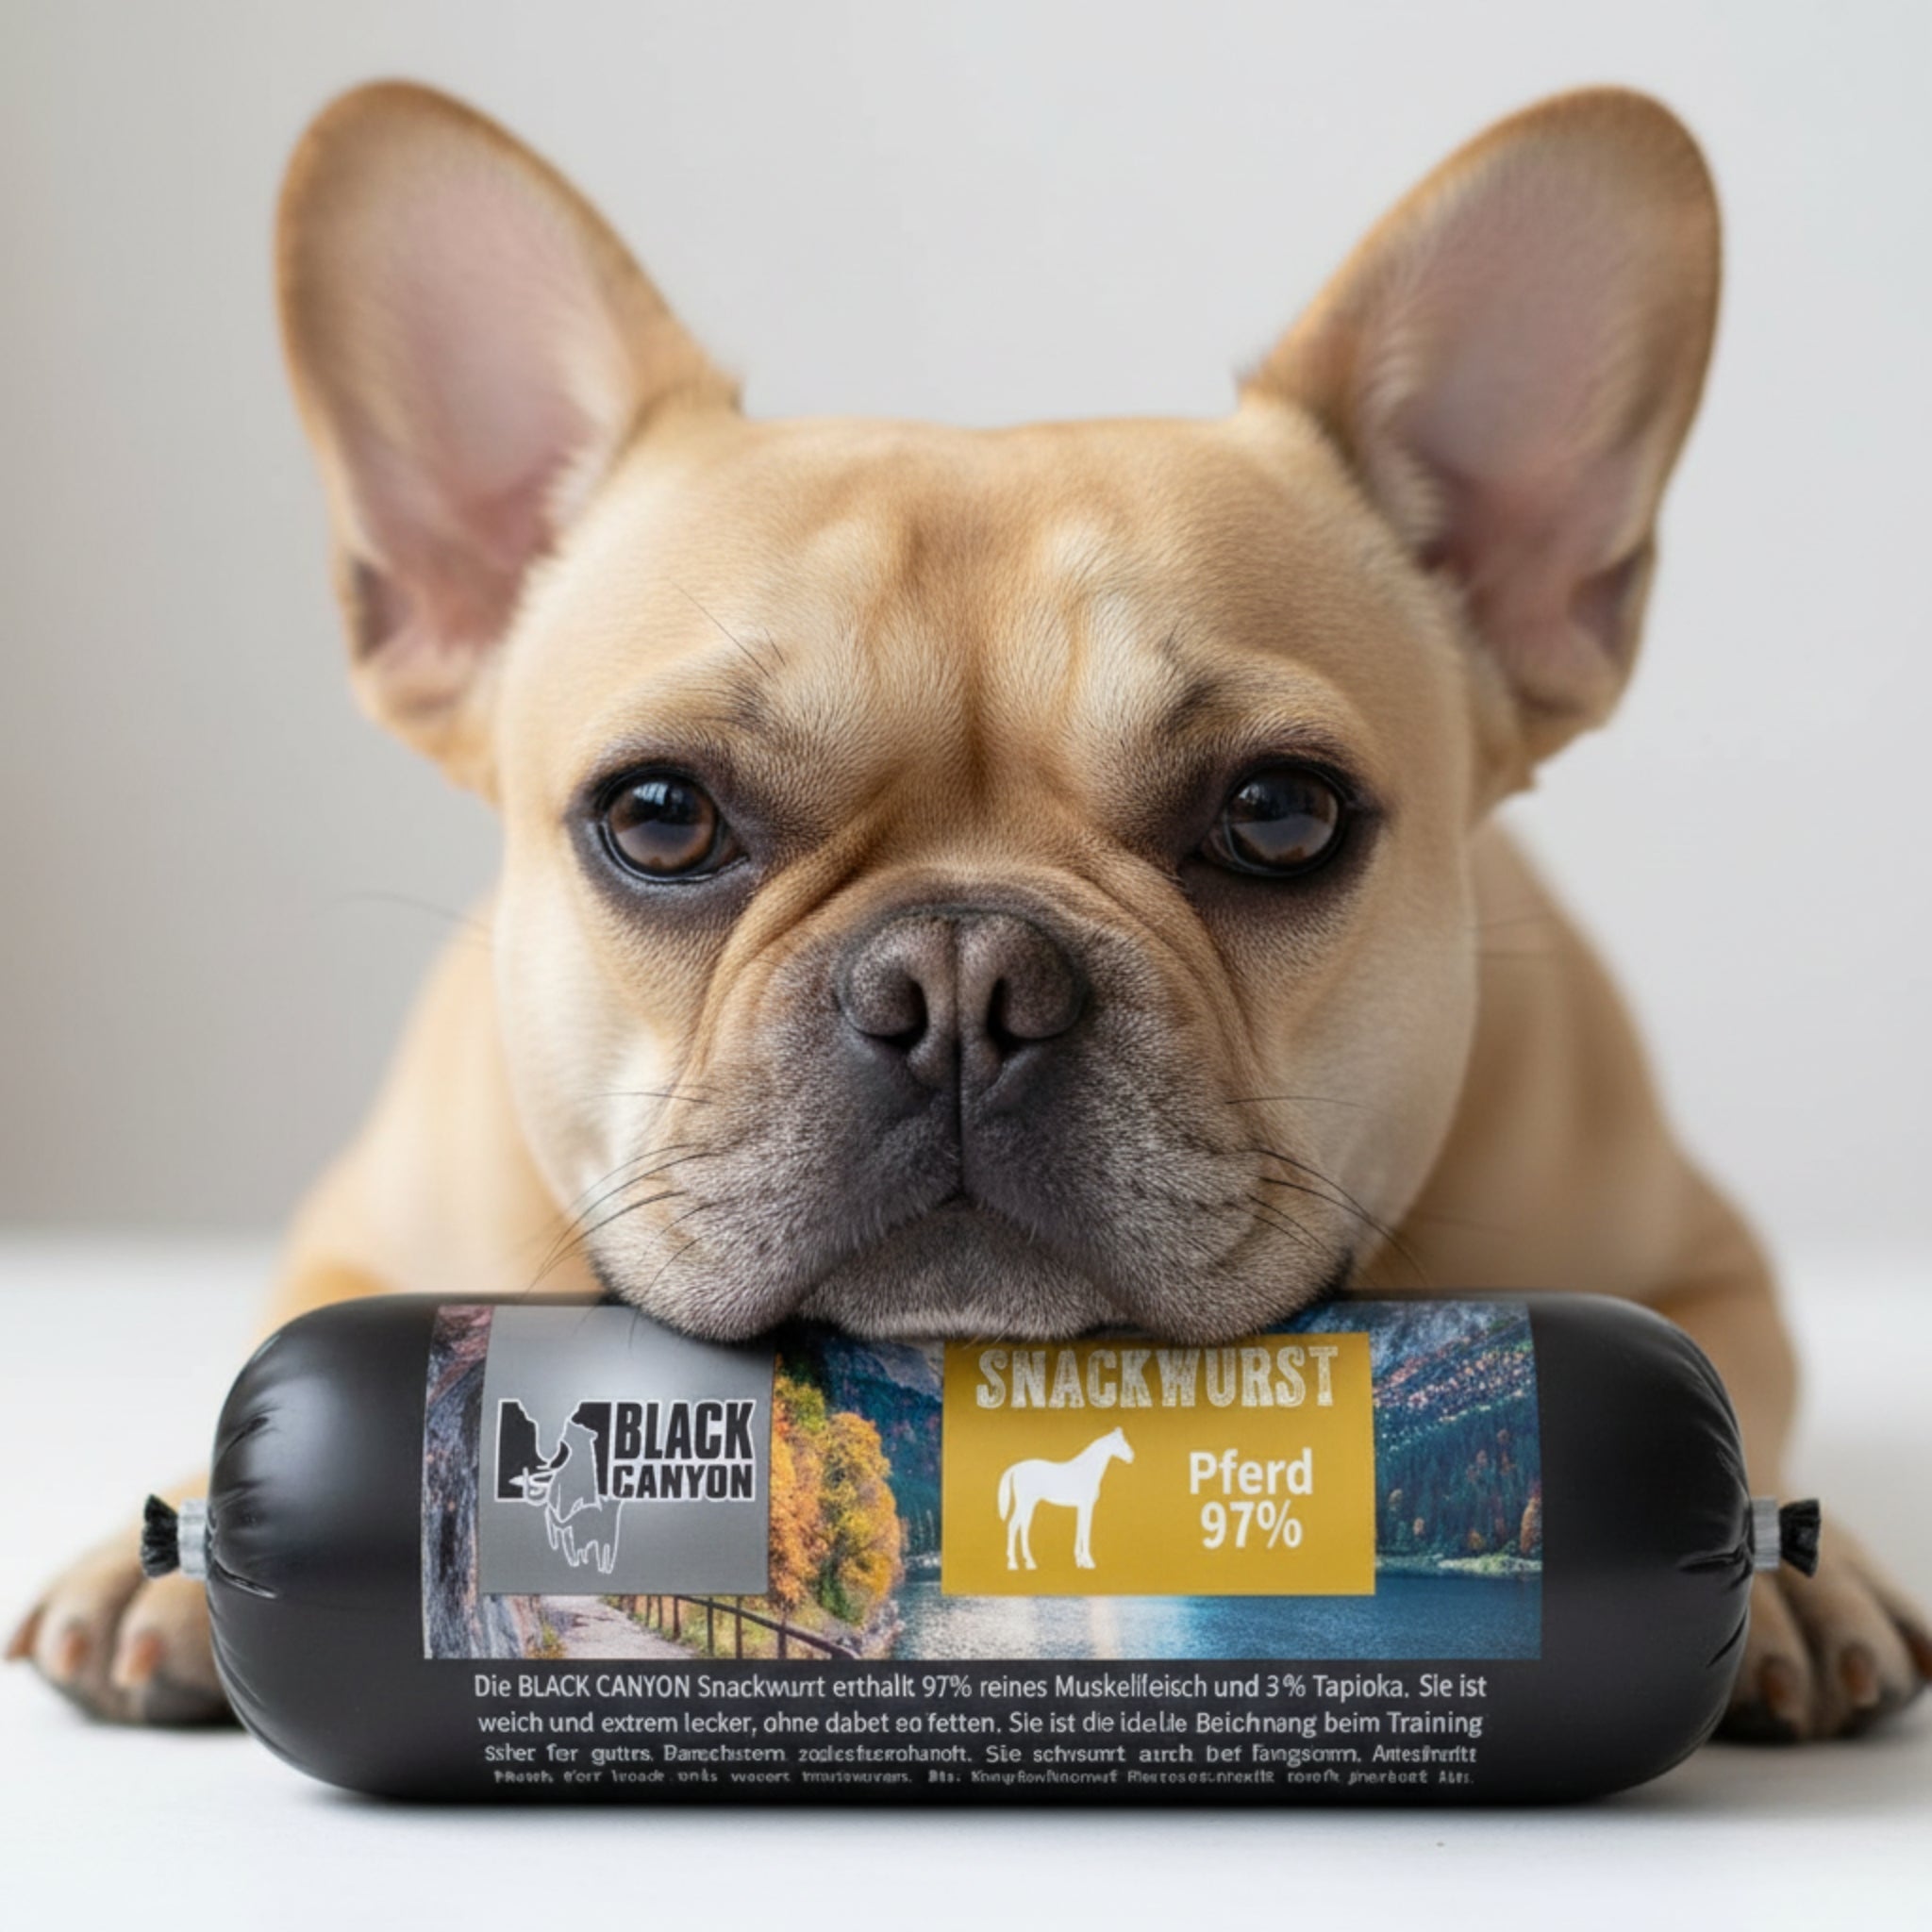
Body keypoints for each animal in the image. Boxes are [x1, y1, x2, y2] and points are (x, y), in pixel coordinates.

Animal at [997, 1427, 1136, 1571]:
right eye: (1121, 1442)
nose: (1132, 1457)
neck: (1086, 1470)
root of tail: (1015, 1468)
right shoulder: (1087, 1506)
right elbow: (1086, 1532)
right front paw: (1089, 1561)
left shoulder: (1081, 1507)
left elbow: (1080, 1530)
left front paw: (1080, 1561)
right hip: (1027, 1503)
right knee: (1023, 1528)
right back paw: (1029, 1562)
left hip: (1022, 1505)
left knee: (1012, 1525)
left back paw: (1012, 1563)